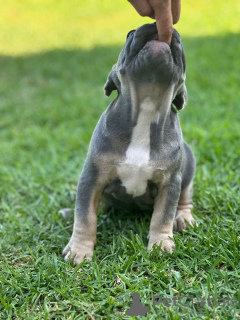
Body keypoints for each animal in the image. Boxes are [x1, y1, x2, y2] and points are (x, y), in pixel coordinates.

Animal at [62, 23, 195, 264]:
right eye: (129, 34)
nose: (153, 24)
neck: (147, 105)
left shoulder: (170, 183)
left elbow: (163, 216)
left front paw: (161, 244)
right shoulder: (91, 178)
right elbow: (85, 216)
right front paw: (79, 249)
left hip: (188, 166)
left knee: (185, 198)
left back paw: (184, 218)